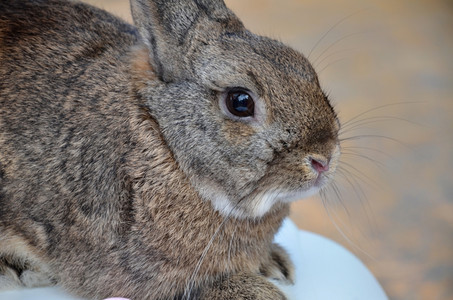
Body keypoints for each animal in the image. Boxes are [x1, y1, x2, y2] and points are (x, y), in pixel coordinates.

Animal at [0, 0, 340, 298]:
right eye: (240, 102)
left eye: (303, 66)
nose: (324, 158)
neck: (164, 140)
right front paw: (261, 291)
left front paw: (275, 264)